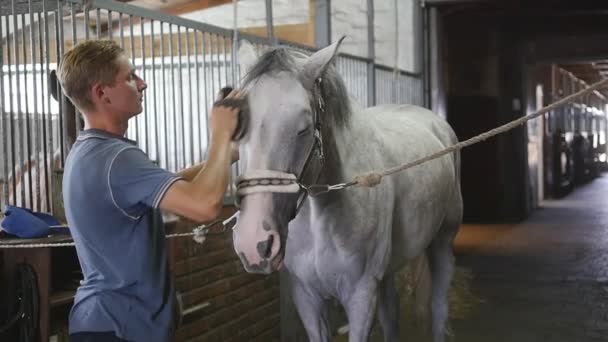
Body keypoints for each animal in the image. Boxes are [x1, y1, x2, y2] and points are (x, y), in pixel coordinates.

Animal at [232, 37, 460, 342]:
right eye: (238, 126)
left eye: (303, 129)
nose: (253, 243)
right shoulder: (307, 296)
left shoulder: (361, 296)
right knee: (391, 312)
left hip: (442, 243)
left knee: (438, 306)